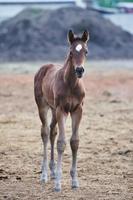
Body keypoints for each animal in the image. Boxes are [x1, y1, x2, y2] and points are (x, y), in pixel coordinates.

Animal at [33, 29, 89, 191]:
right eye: (71, 52)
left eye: (86, 51)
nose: (79, 70)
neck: (71, 84)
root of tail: (44, 67)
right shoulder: (62, 110)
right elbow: (61, 143)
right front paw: (58, 183)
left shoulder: (77, 110)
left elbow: (74, 142)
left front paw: (75, 181)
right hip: (44, 106)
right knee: (45, 132)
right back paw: (44, 175)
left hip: (53, 110)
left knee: (53, 131)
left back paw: (51, 171)